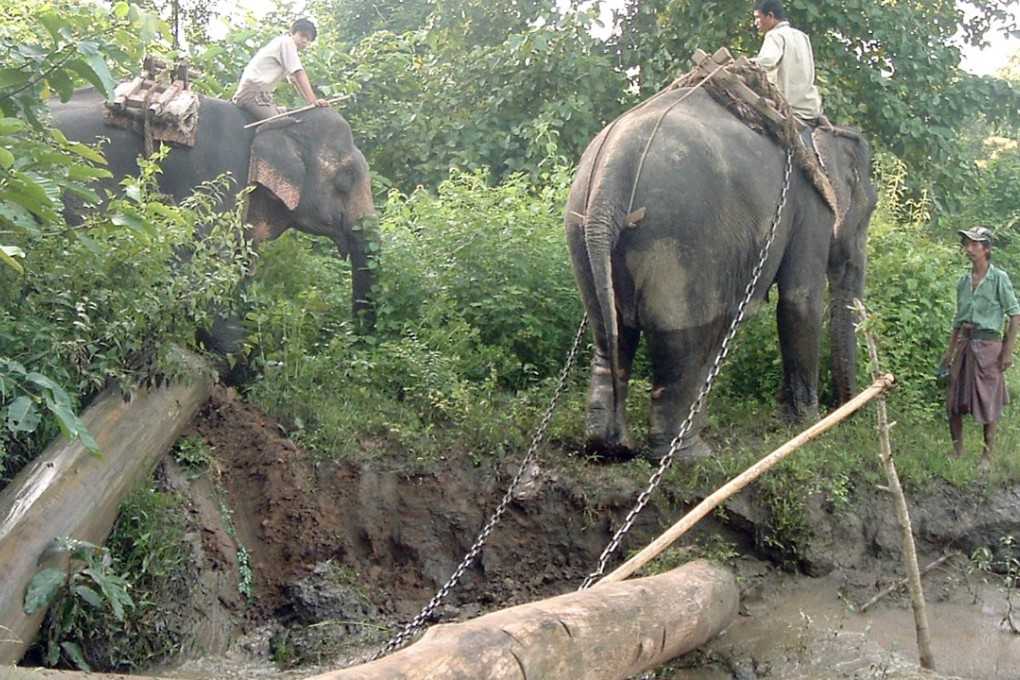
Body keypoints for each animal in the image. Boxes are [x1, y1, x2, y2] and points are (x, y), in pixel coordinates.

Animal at [565, 86, 877, 462]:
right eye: (871, 208)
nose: (846, 409)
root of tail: (612, 176)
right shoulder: (811, 207)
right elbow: (800, 301)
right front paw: (805, 424)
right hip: (681, 239)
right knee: (681, 342)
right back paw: (689, 456)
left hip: (582, 229)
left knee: (610, 330)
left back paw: (611, 446)